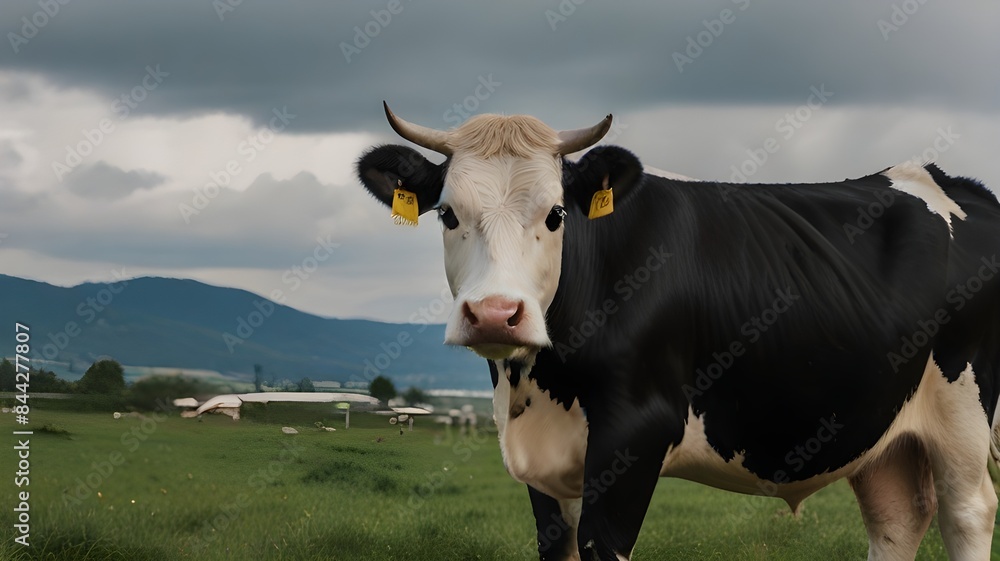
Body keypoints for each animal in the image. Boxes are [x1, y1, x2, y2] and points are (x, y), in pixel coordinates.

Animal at [356, 103, 1000, 561]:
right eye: (447, 214)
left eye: (556, 214)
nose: (494, 312)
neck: (534, 387)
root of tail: (942, 177)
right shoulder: (544, 461)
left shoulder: (635, 431)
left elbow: (603, 546)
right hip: (880, 425)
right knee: (897, 517)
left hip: (964, 408)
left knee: (967, 513)